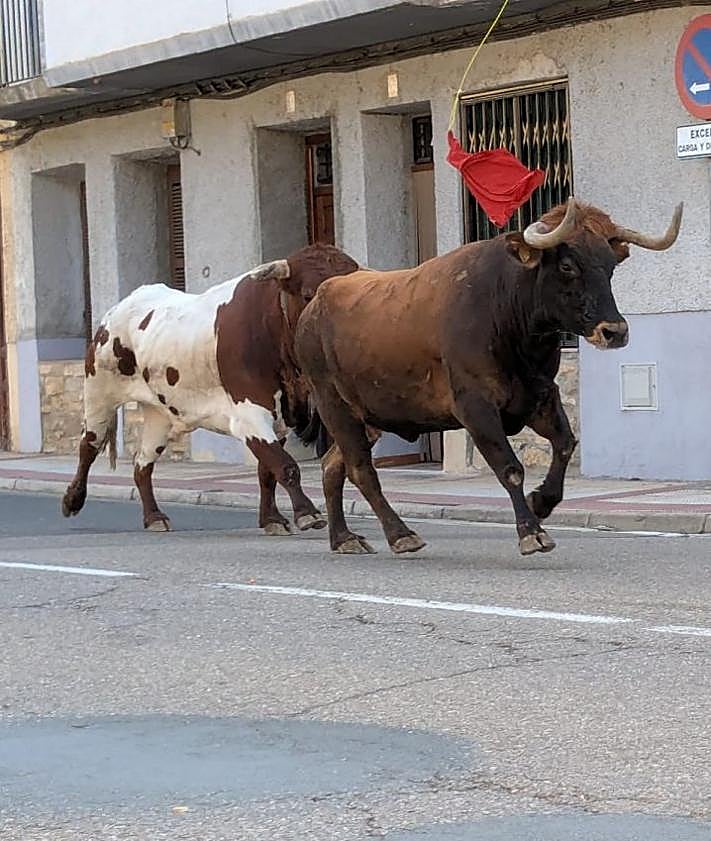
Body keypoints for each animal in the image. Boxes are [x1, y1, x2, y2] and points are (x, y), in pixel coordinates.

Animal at [62, 244, 359, 534]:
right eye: (309, 294)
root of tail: (120, 308)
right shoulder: (249, 413)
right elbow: (284, 465)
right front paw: (307, 513)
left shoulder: (282, 418)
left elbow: (267, 471)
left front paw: (272, 519)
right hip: (100, 393)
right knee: (88, 446)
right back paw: (72, 500)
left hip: (159, 414)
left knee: (142, 463)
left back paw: (154, 517)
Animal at [294, 198, 683, 556]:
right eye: (568, 265)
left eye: (610, 266)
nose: (614, 331)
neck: (507, 309)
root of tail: (313, 307)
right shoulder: (476, 407)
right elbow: (510, 467)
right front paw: (531, 532)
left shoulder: (539, 397)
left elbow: (565, 444)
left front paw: (542, 501)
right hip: (335, 407)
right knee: (361, 471)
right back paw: (400, 534)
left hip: (367, 418)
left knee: (332, 467)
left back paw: (343, 538)